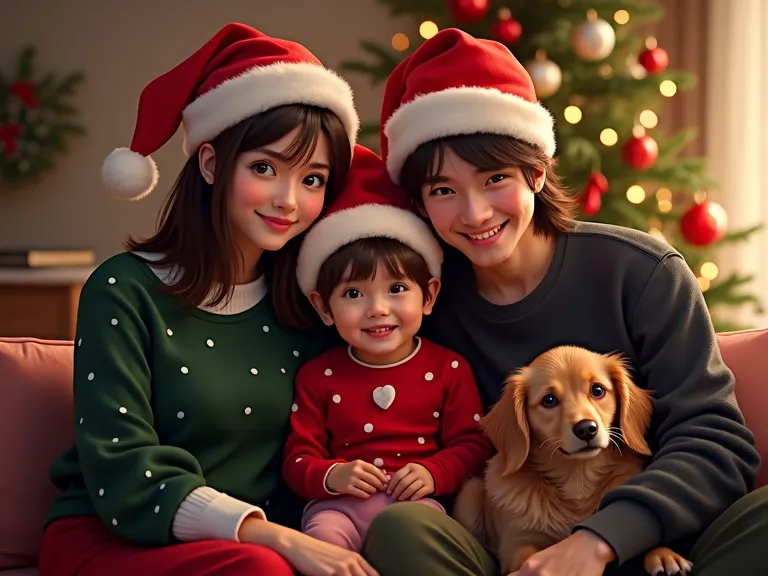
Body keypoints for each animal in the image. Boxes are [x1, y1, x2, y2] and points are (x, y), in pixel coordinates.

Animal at [452, 346, 692, 576]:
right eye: (549, 400)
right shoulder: (517, 543)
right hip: (470, 494)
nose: (586, 428)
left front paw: (663, 554)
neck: (577, 478)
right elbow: (524, 559)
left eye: (597, 390)